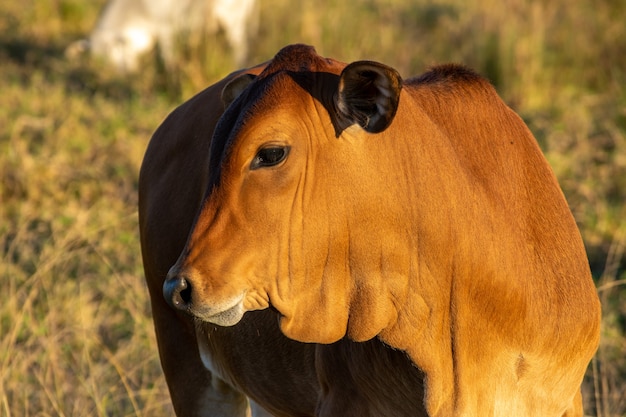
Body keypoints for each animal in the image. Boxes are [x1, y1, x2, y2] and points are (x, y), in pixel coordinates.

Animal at [70, 0, 258, 72]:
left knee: (240, 47)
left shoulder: (166, 29)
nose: (124, 74)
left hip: (232, 18)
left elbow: (167, 58)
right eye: (98, 60)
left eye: (114, 50)